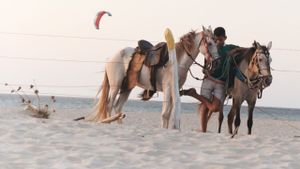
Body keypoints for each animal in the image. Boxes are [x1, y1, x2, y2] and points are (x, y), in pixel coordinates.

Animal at [85, 26, 219, 129]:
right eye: (210, 43)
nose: (217, 62)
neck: (176, 61)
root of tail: (110, 58)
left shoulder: (174, 91)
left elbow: (168, 113)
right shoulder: (168, 88)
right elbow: (165, 113)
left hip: (127, 87)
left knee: (117, 107)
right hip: (115, 86)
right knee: (109, 105)